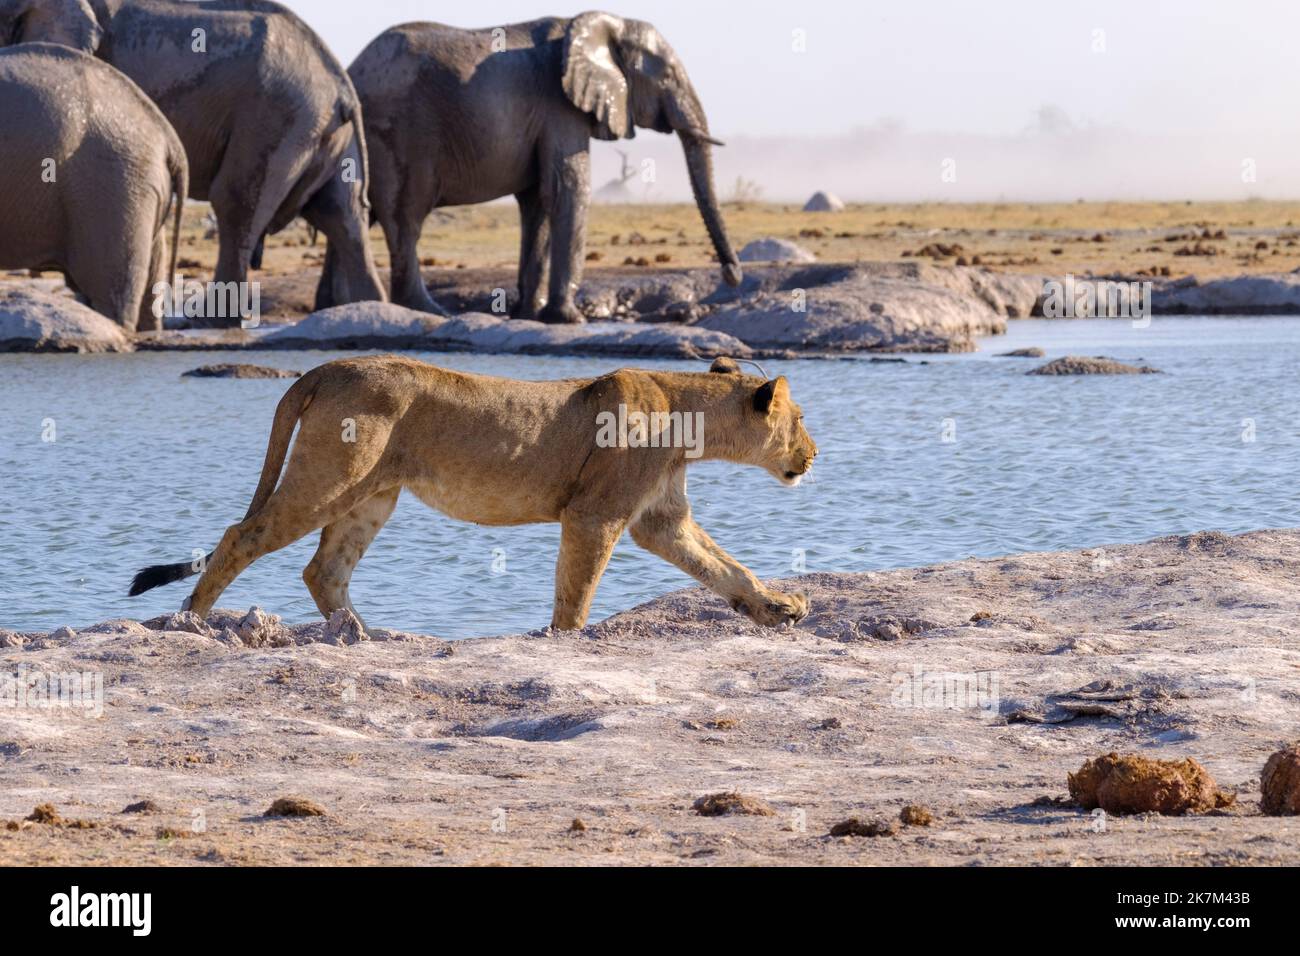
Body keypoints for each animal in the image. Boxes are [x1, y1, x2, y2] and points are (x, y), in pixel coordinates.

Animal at [345, 11, 748, 323]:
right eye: (668, 77)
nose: (732, 275)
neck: (602, 24)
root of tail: (353, 71)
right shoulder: (560, 106)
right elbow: (568, 189)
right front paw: (569, 318)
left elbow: (537, 202)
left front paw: (528, 314)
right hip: (400, 133)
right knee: (406, 220)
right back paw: (430, 311)